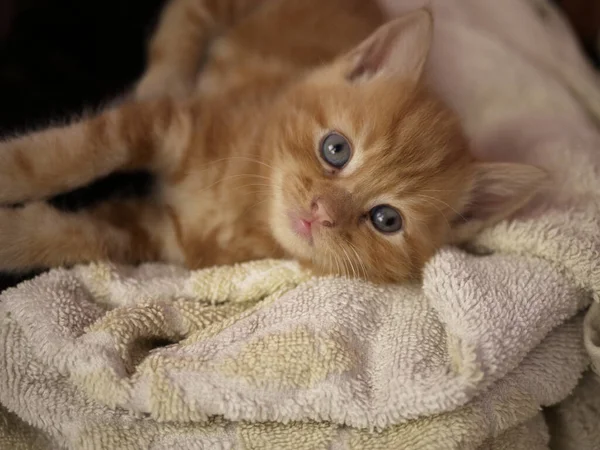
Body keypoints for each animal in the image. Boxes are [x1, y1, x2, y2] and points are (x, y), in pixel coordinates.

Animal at [0, 1, 548, 284]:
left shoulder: (159, 236)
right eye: (336, 149)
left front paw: (13, 237)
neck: (243, 202)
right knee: (187, 17)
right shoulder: (172, 123)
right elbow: (69, 152)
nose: (320, 212)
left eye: (386, 220)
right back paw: (164, 75)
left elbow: (78, 236)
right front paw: (9, 168)